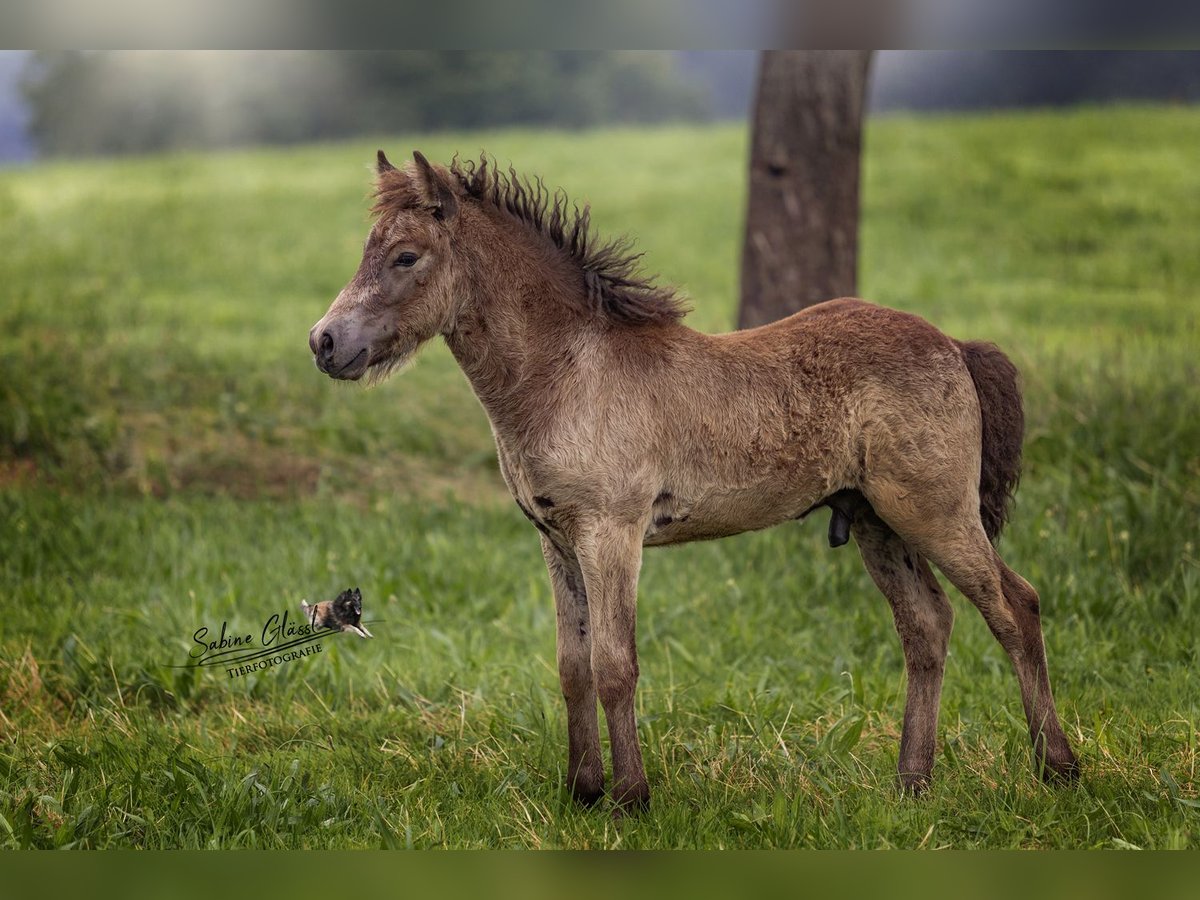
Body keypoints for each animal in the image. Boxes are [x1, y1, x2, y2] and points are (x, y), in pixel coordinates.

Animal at [309, 151, 1080, 816]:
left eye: (406, 257)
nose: (323, 342)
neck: (568, 373)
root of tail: (954, 344)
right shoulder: (556, 541)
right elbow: (572, 666)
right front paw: (581, 790)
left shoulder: (612, 534)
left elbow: (615, 665)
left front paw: (630, 799)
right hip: (875, 522)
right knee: (926, 626)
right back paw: (911, 783)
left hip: (935, 511)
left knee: (1015, 605)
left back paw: (1058, 767)